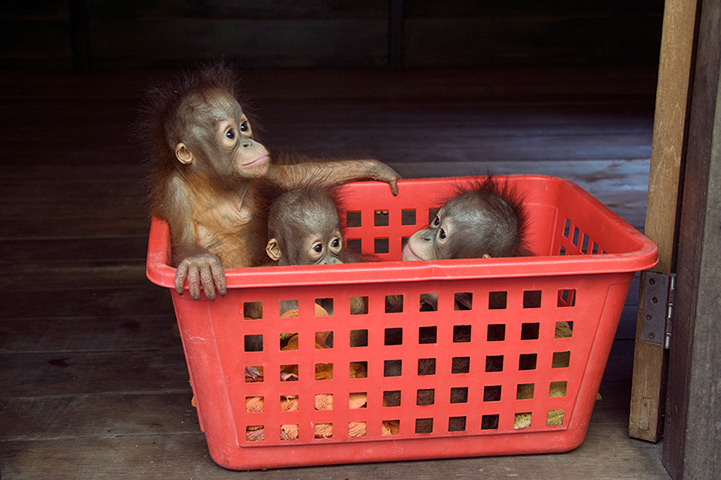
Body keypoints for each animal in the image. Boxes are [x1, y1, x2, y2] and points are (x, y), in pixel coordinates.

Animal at [139, 62, 400, 301]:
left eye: (244, 126)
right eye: (230, 134)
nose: (249, 143)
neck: (218, 182)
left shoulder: (261, 172)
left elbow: (290, 176)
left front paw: (376, 168)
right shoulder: (174, 190)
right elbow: (182, 240)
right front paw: (199, 262)